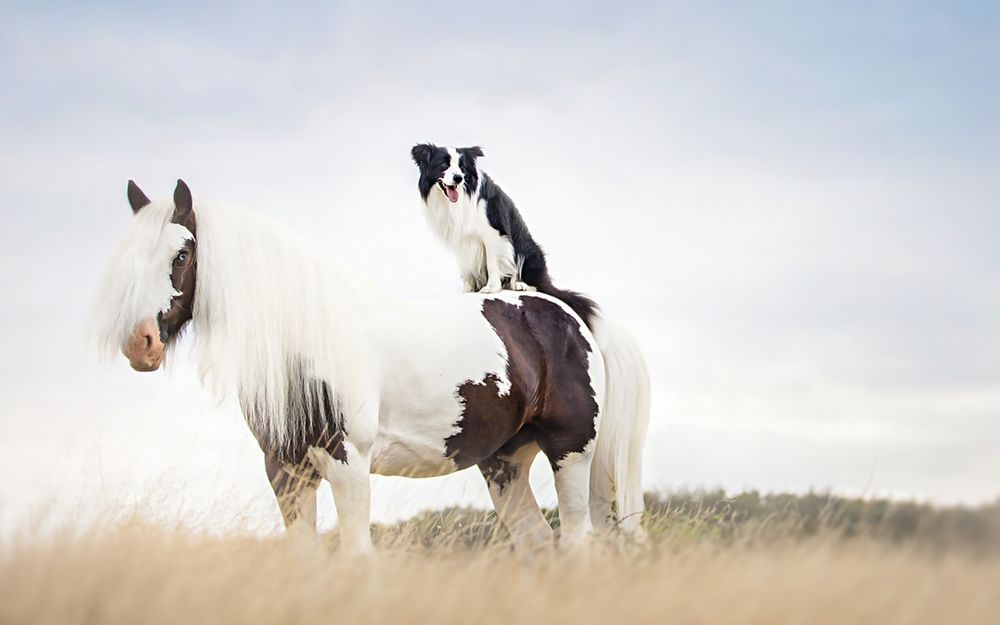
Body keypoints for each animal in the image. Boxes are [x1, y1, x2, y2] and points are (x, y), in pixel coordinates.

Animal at [97, 180, 652, 552]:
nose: (141, 343)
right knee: (536, 543)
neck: (309, 337)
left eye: (182, 255)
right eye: (131, 257)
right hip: (505, 464)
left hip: (570, 453)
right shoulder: (286, 471)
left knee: (575, 545)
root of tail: (558, 307)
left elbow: (356, 557)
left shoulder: (348, 464)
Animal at [412, 141, 592, 326]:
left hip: (529, 251)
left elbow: (492, 263)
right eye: (443, 165)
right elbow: (466, 268)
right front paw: (467, 291)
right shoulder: (461, 241)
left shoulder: (493, 233)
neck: (458, 200)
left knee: (538, 285)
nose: (458, 178)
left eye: (462, 167)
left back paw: (520, 284)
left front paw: (491, 288)